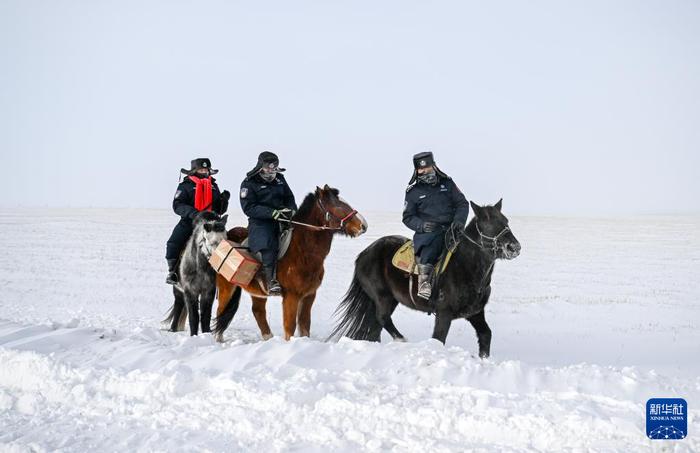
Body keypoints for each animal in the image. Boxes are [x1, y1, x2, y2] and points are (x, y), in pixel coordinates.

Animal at [213, 185, 370, 340]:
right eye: (337, 205)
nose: (363, 225)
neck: (303, 252)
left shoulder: (309, 295)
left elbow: (305, 325)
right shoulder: (291, 296)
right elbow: (290, 327)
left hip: (257, 292)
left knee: (258, 311)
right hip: (226, 287)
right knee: (221, 311)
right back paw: (219, 339)